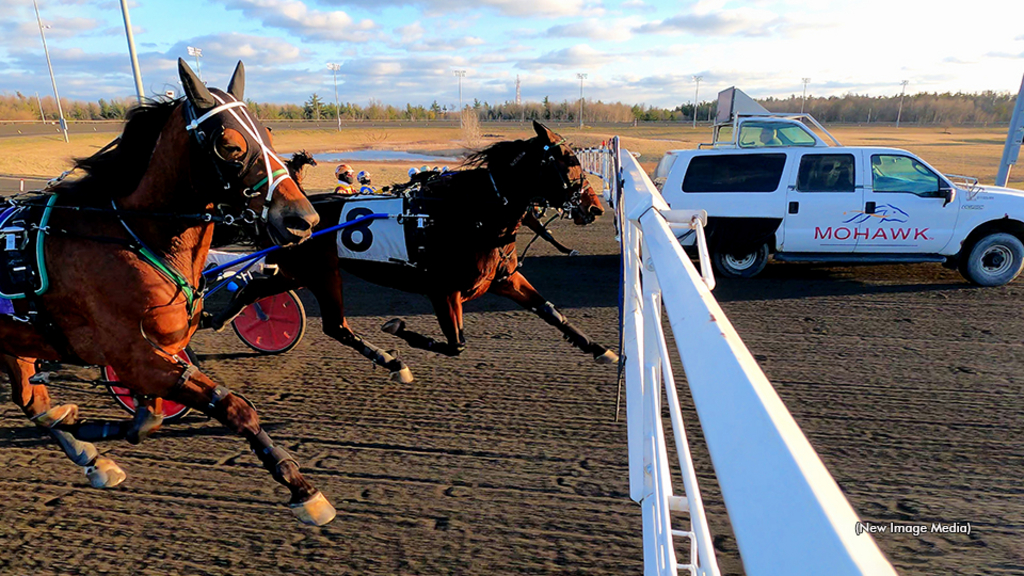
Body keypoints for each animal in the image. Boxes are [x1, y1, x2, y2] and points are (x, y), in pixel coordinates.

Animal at [0, 60, 337, 522]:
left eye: (268, 134)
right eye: (229, 145)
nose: (303, 218)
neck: (129, 235)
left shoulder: (156, 354)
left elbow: (148, 417)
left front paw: (87, 428)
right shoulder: (133, 355)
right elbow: (231, 406)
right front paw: (302, 489)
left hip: (15, 340)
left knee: (30, 400)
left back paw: (91, 457)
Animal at [203, 120, 610, 381]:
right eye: (569, 161)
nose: (595, 208)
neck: (467, 214)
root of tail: (296, 207)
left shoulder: (503, 280)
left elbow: (550, 310)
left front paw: (597, 347)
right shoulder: (442, 290)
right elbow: (455, 345)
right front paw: (398, 329)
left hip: (298, 273)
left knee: (253, 290)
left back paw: (217, 320)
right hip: (322, 274)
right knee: (335, 326)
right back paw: (391, 362)